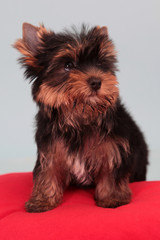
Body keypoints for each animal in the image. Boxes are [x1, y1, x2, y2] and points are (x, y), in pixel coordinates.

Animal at [13, 23, 148, 213]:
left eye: (100, 63)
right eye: (68, 65)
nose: (96, 81)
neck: (79, 115)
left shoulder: (112, 147)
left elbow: (111, 172)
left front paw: (113, 198)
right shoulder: (52, 148)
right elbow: (48, 172)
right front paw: (42, 200)